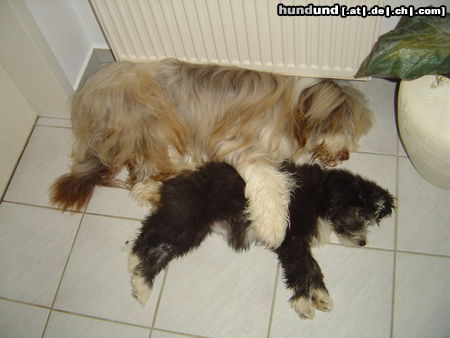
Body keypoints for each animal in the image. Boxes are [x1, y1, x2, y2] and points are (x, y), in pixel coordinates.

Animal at [51, 58, 374, 248]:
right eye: (346, 127)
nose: (346, 156)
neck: (293, 109)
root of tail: (84, 99)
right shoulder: (237, 144)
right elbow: (268, 180)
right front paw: (273, 226)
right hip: (150, 112)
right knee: (143, 176)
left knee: (140, 177)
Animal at [126, 162, 394, 318]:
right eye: (359, 215)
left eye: (372, 220)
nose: (363, 243)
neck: (322, 196)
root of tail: (168, 183)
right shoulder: (292, 240)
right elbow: (304, 268)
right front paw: (304, 303)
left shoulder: (296, 242)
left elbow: (312, 268)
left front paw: (320, 296)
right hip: (186, 219)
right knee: (151, 234)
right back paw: (137, 270)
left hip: (189, 229)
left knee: (159, 245)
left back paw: (139, 280)